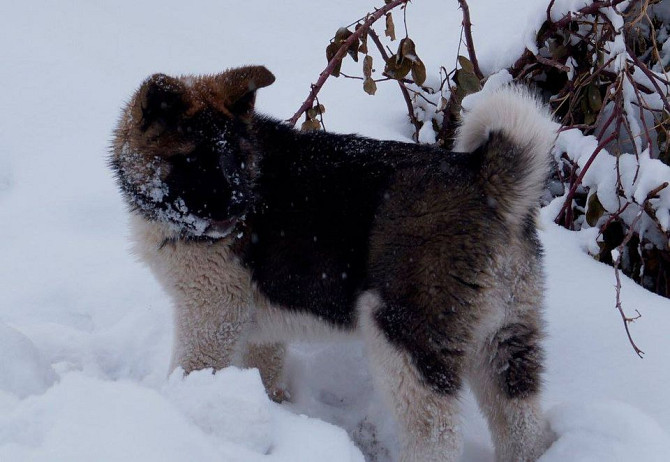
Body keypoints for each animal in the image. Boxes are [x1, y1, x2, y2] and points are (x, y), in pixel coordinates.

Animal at [113, 66, 560, 462]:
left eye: (236, 158)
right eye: (195, 161)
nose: (244, 206)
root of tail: (487, 182)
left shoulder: (211, 309)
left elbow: (194, 368)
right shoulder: (256, 323)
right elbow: (263, 369)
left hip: (406, 336)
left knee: (436, 433)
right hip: (507, 334)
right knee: (521, 423)